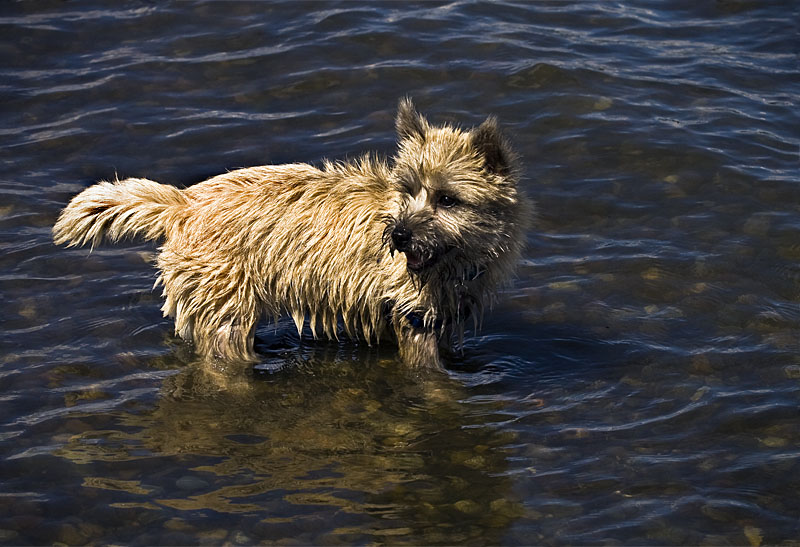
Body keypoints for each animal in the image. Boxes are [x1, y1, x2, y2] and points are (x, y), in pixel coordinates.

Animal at [54, 100, 532, 370]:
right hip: (224, 301)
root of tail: (183, 203)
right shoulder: (414, 317)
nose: (398, 235)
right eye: (407, 188)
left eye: (448, 199)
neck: (455, 261)